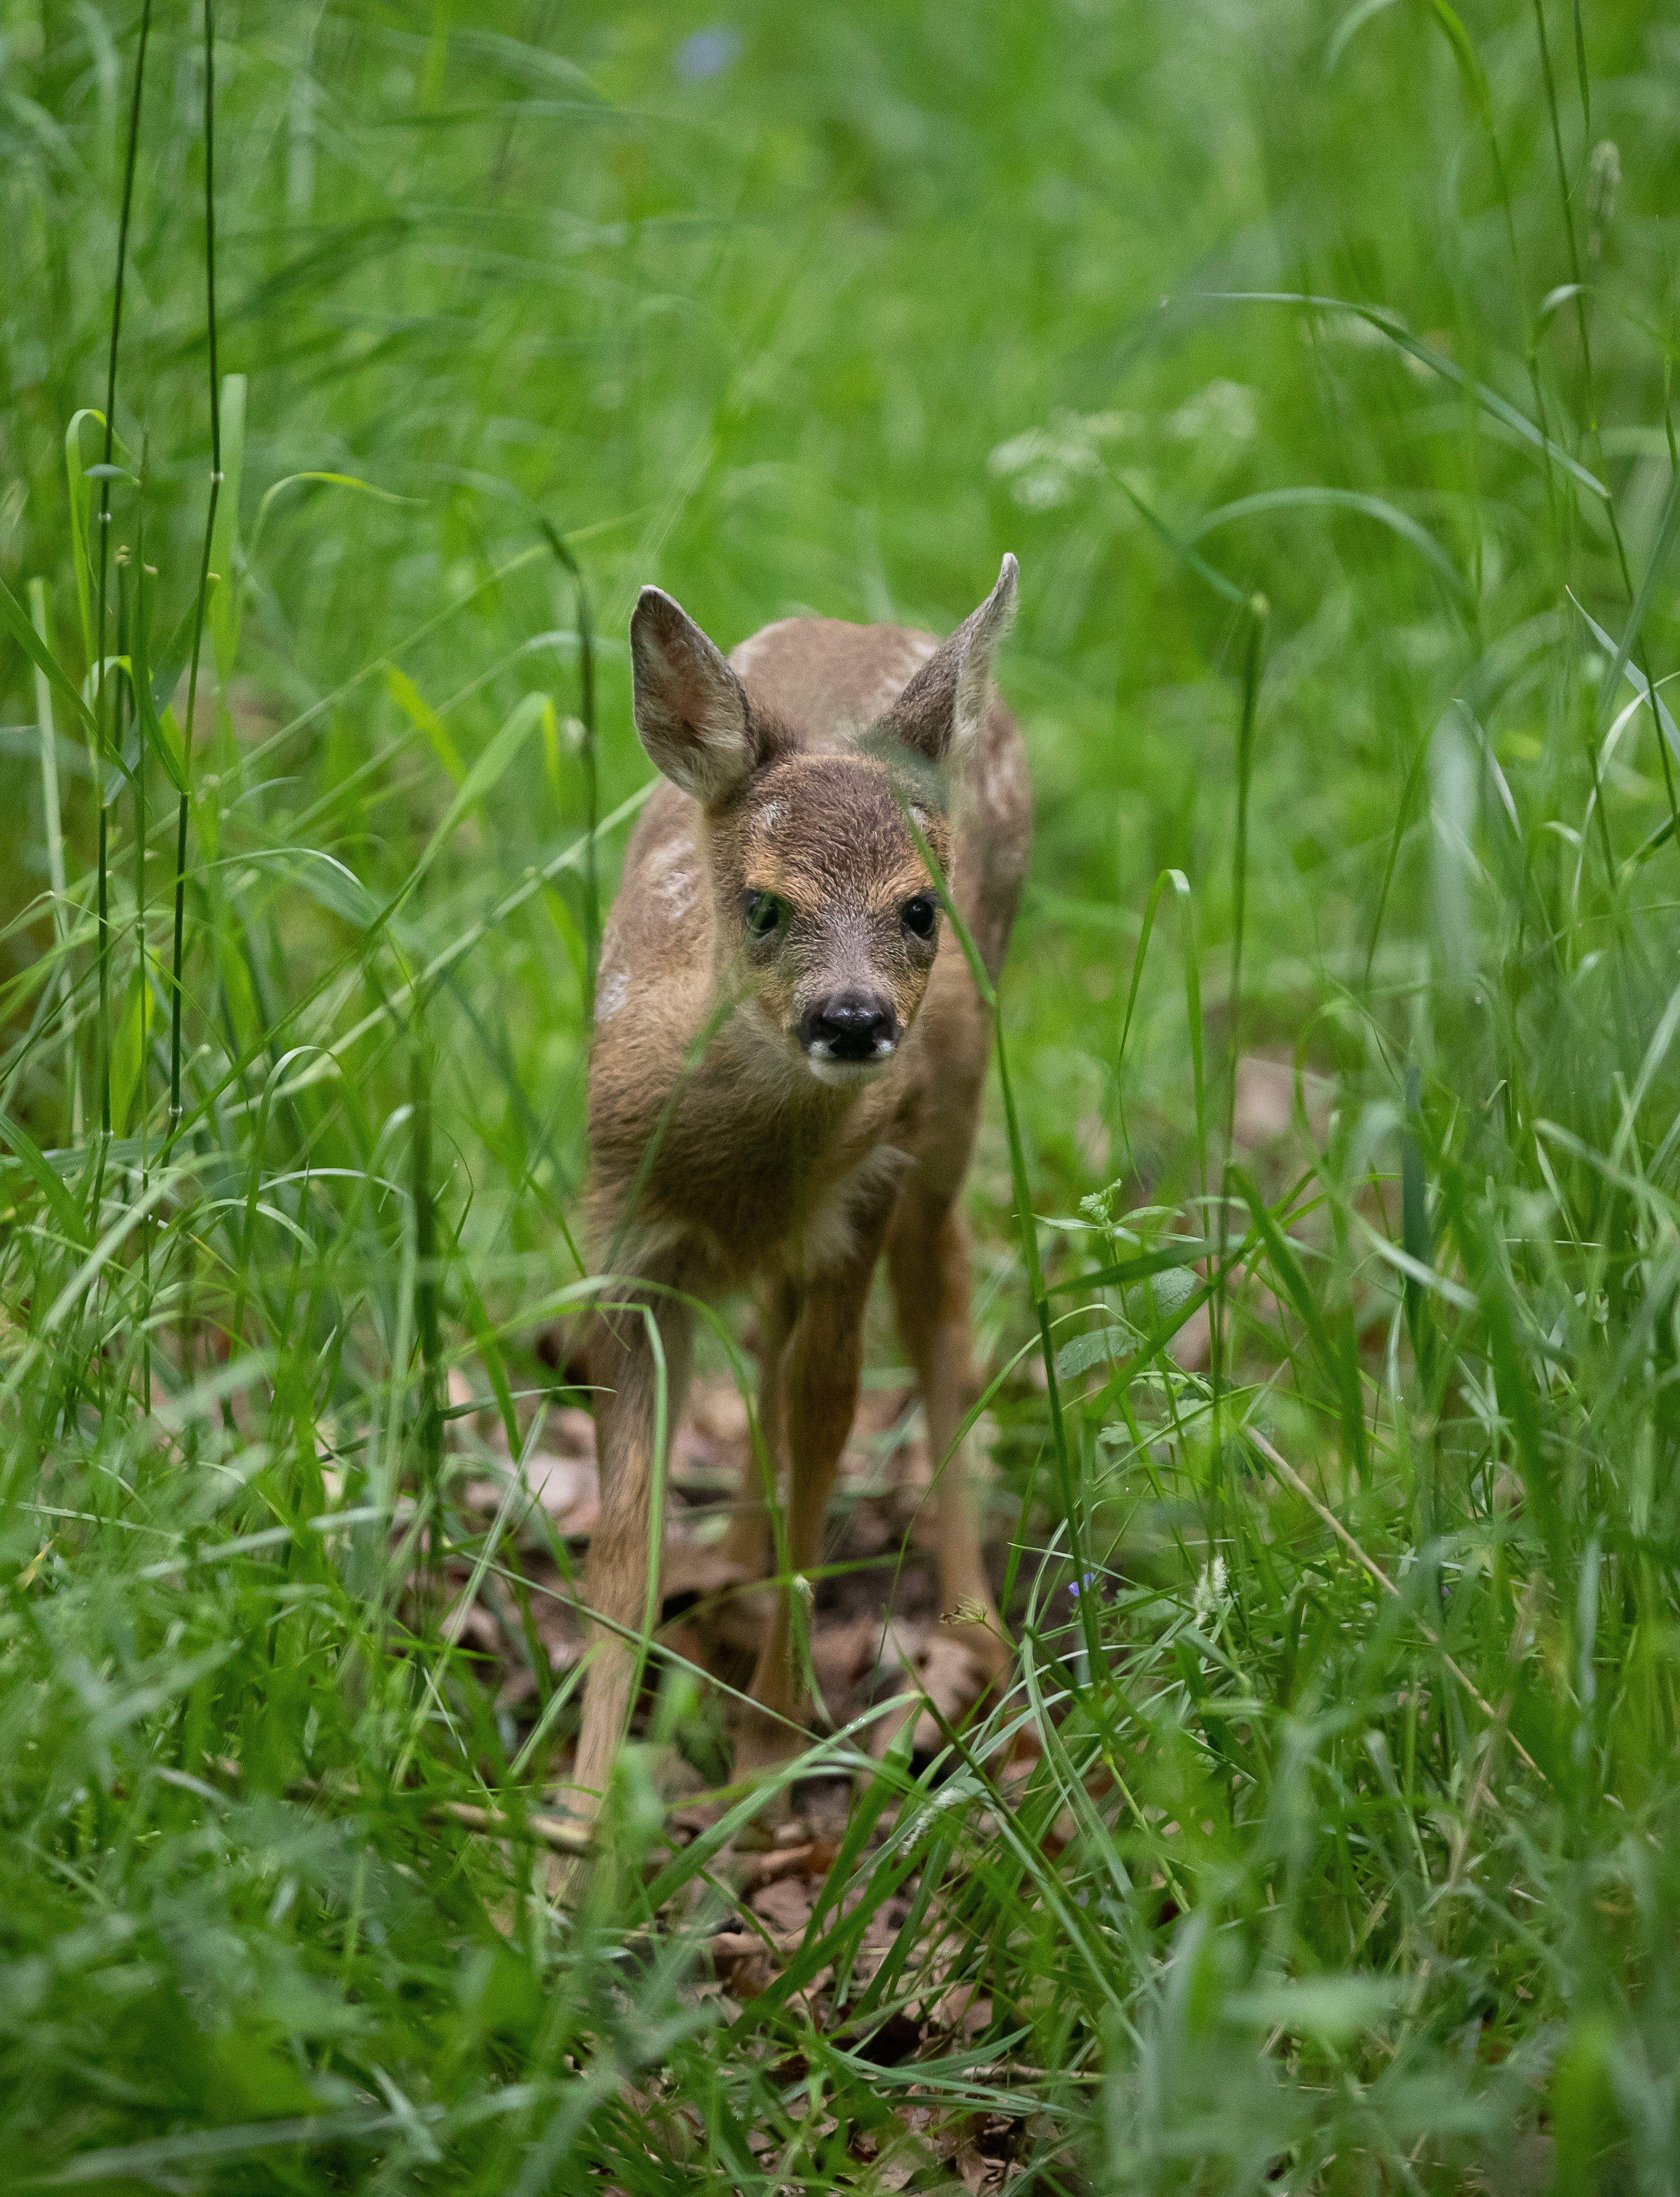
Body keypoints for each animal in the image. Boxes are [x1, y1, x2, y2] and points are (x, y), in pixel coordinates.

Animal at [565, 553, 1030, 1821]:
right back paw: (728, 1572)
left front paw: (768, 1758)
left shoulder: (857, 1203)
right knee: (777, 1343)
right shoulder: (624, 1242)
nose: (854, 1018)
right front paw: (574, 1817)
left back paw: (974, 1629)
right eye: (764, 905)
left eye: (919, 907)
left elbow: (825, 1441)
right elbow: (623, 1537)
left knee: (939, 1304)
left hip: (948, 1120)